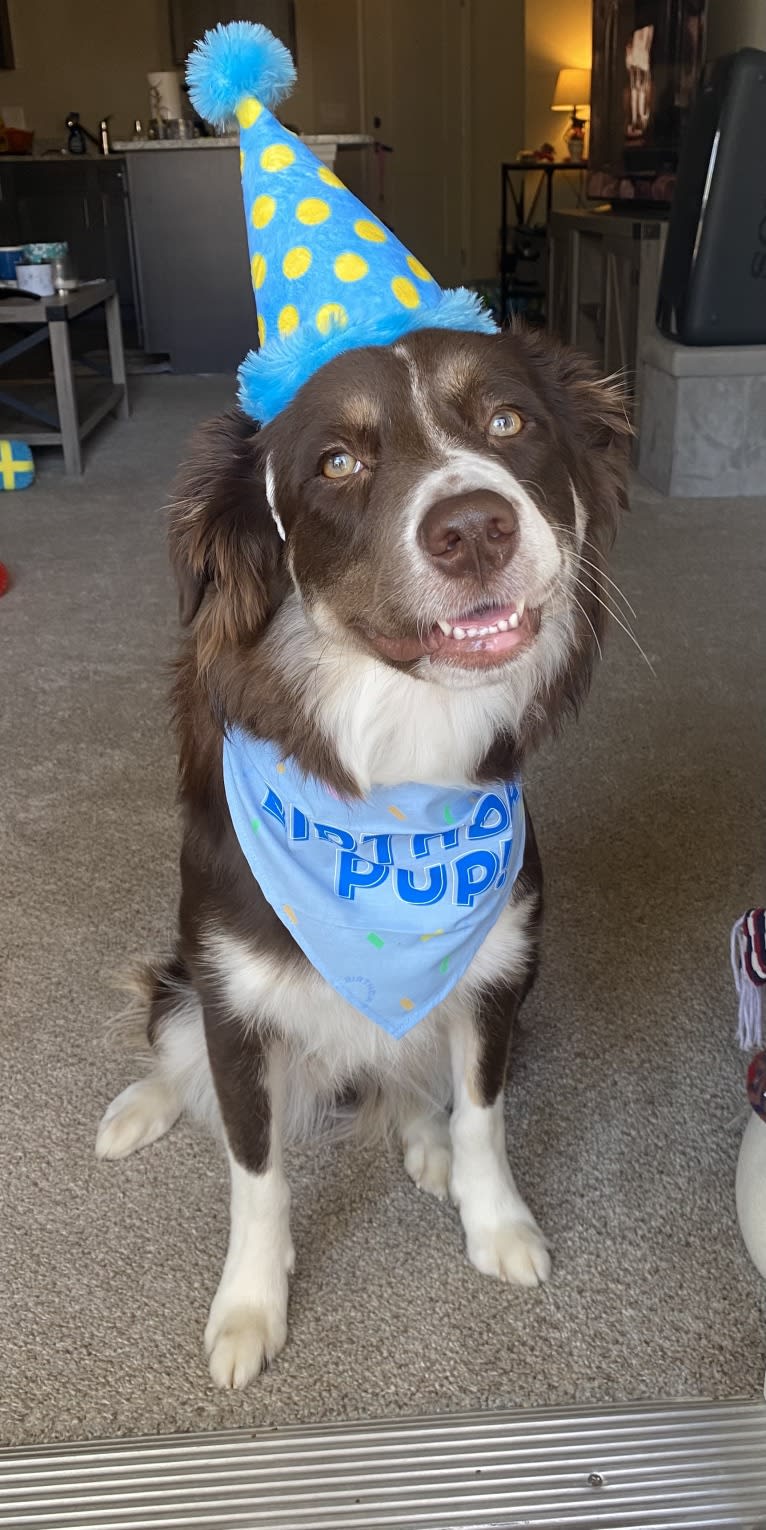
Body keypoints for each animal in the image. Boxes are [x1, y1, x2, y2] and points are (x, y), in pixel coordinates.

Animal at [95, 328, 626, 1395]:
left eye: (508, 419)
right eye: (337, 463)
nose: (476, 528)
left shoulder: (499, 980)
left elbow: (482, 1113)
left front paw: (495, 1220)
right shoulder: (234, 1005)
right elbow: (255, 1172)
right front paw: (250, 1306)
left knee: (408, 1079)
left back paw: (424, 1143)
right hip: (183, 983)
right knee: (175, 1047)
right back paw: (139, 1108)